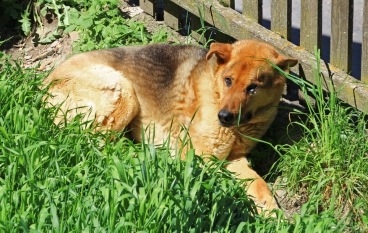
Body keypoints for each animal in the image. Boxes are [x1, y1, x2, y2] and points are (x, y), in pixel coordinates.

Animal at [43, 39, 300, 213]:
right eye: (228, 81)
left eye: (253, 87)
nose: (224, 117)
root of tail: (42, 86)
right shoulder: (201, 160)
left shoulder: (233, 159)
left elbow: (258, 183)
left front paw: (271, 210)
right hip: (123, 90)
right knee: (94, 145)